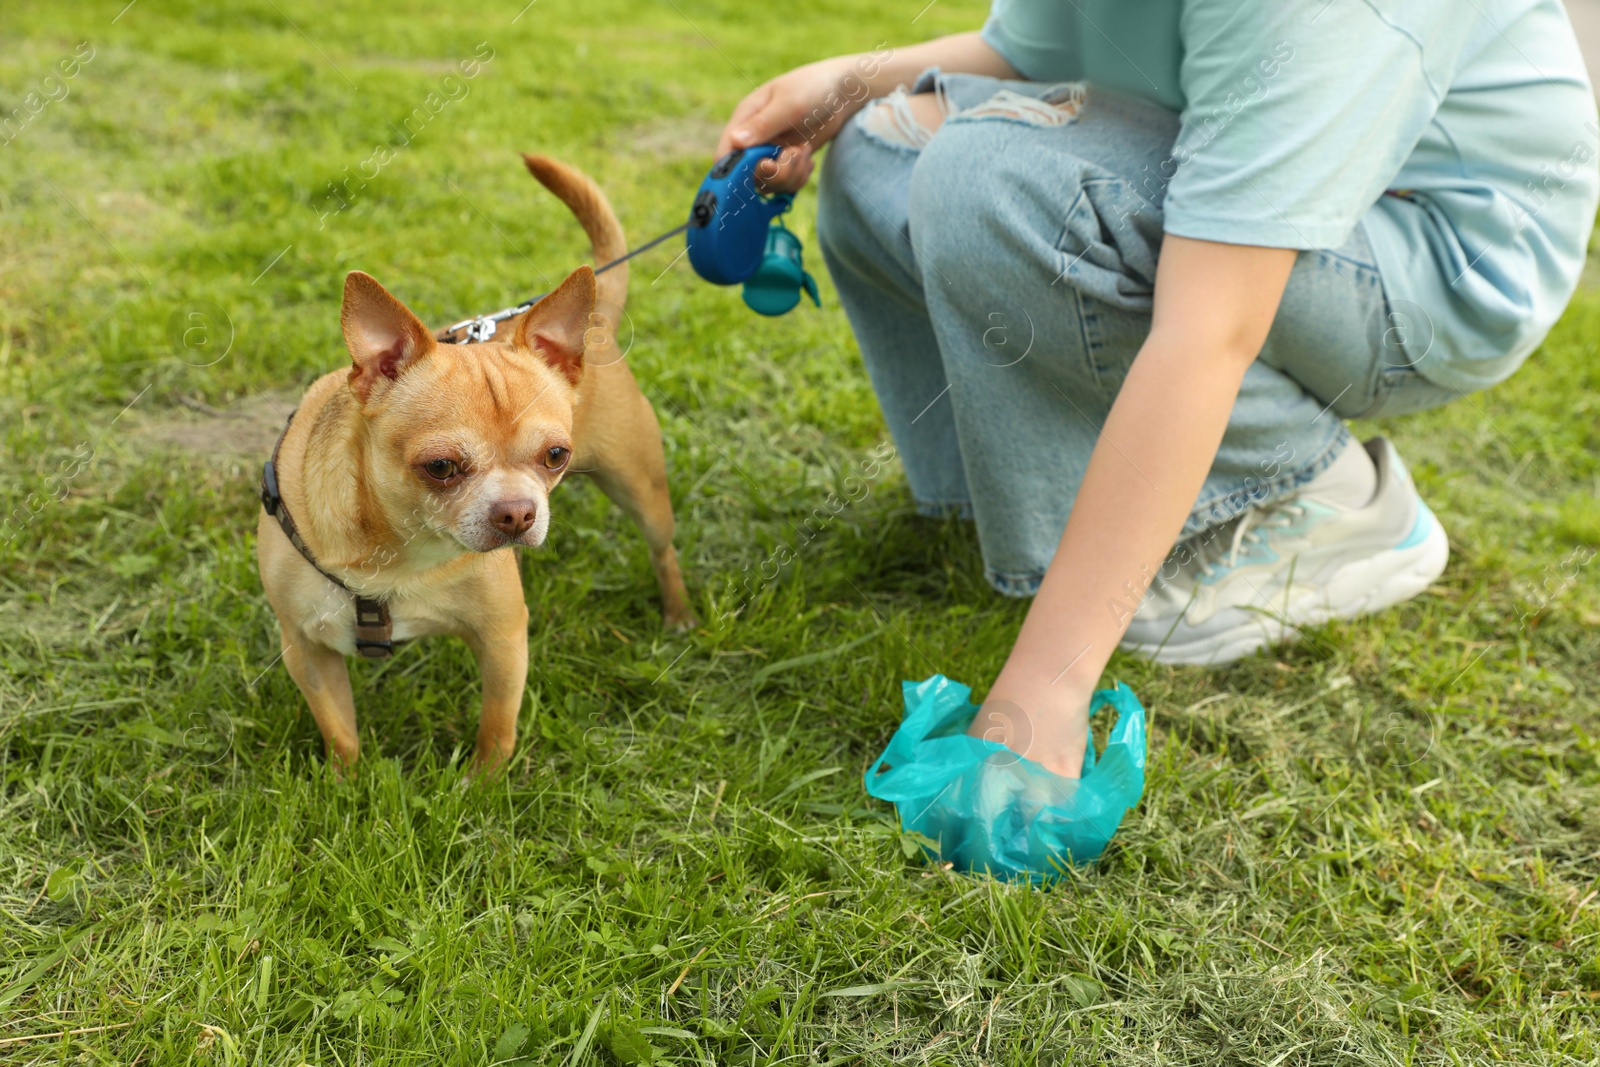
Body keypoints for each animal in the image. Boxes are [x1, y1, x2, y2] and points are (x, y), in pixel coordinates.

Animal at [257, 154, 694, 771]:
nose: (518, 514)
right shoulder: (307, 651)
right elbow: (340, 731)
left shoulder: (504, 638)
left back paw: (677, 613)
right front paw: (346, 782)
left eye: (555, 456)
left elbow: (497, 726)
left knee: (662, 550)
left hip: (641, 490)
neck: (399, 555)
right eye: (440, 467)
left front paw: (482, 783)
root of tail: (595, 324)